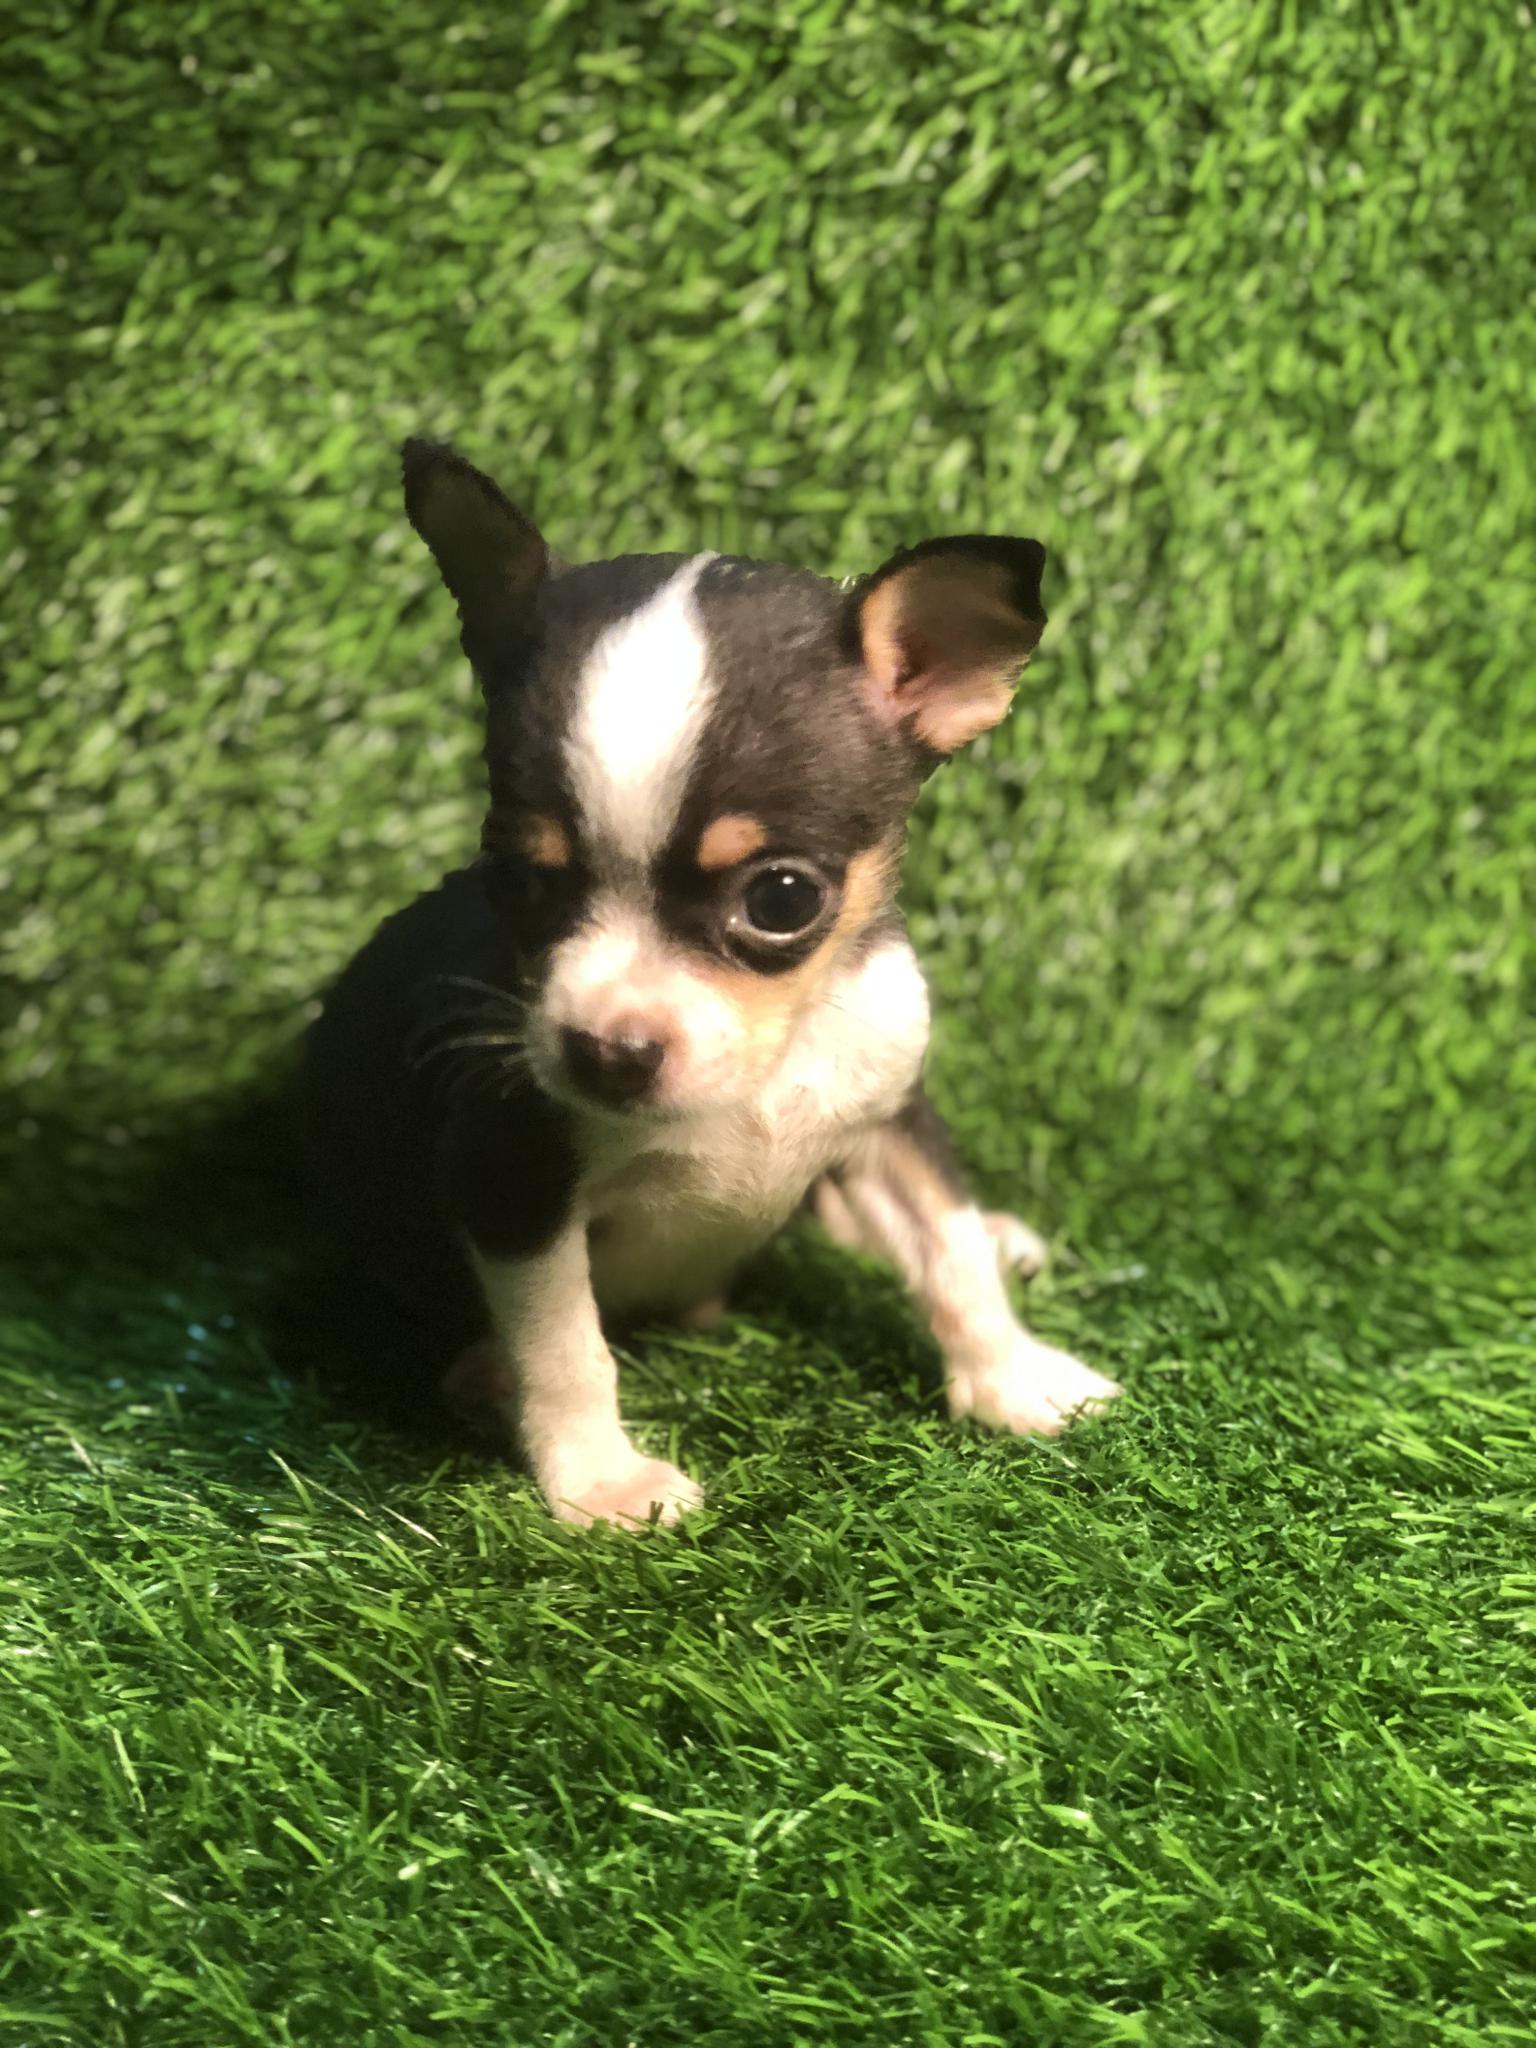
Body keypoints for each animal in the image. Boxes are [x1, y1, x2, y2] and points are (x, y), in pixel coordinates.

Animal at [302, 440, 1120, 1527]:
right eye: (516, 879)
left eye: (780, 899)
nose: (607, 1050)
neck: (770, 1065)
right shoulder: (511, 1176)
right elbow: (566, 1347)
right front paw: (599, 1479)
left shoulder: (890, 1113)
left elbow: (947, 1249)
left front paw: (1012, 1376)